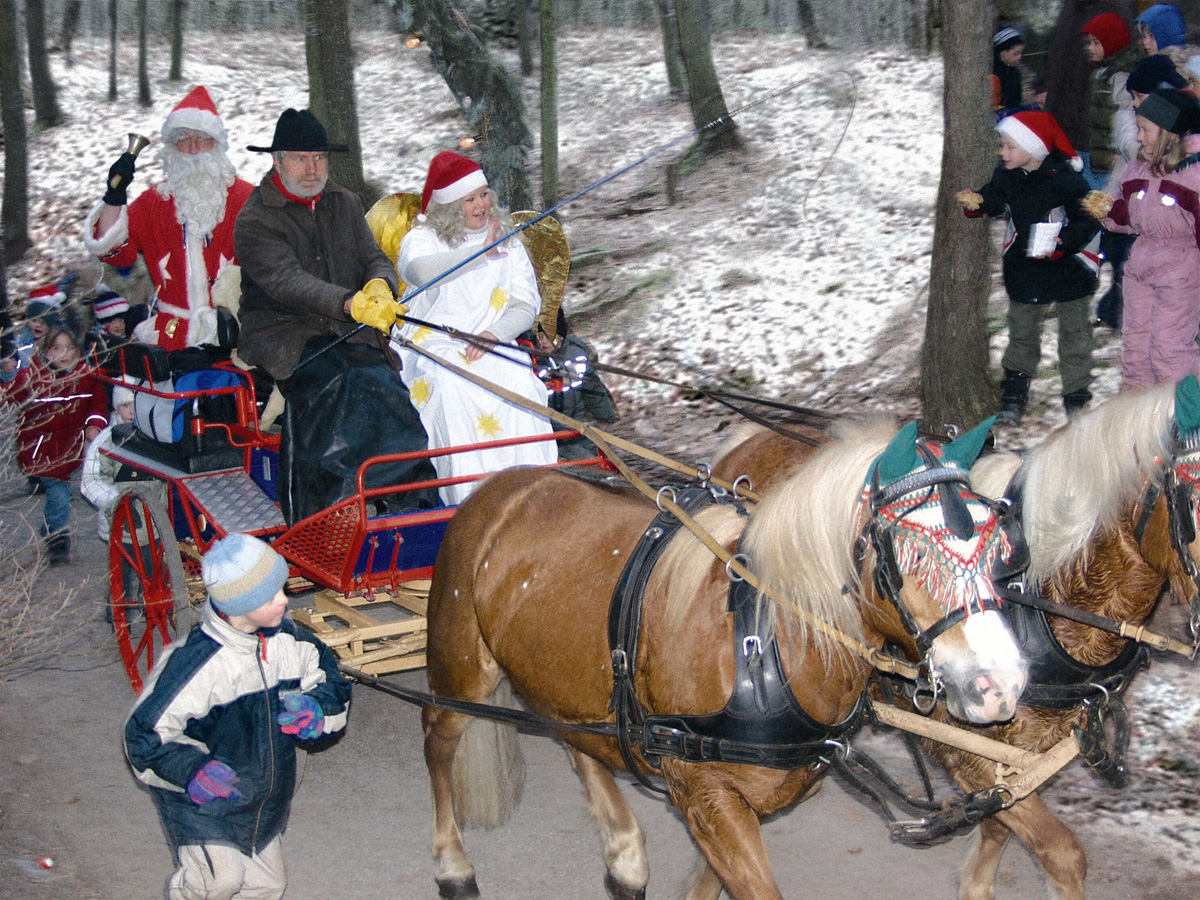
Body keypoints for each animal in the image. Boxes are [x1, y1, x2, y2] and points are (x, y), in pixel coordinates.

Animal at [424, 422, 1032, 900]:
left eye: (1001, 547)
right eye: (912, 553)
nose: (1001, 685)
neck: (767, 642)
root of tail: (496, 487)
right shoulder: (705, 793)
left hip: (563, 679)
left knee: (577, 743)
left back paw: (624, 856)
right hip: (461, 666)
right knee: (438, 735)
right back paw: (452, 865)